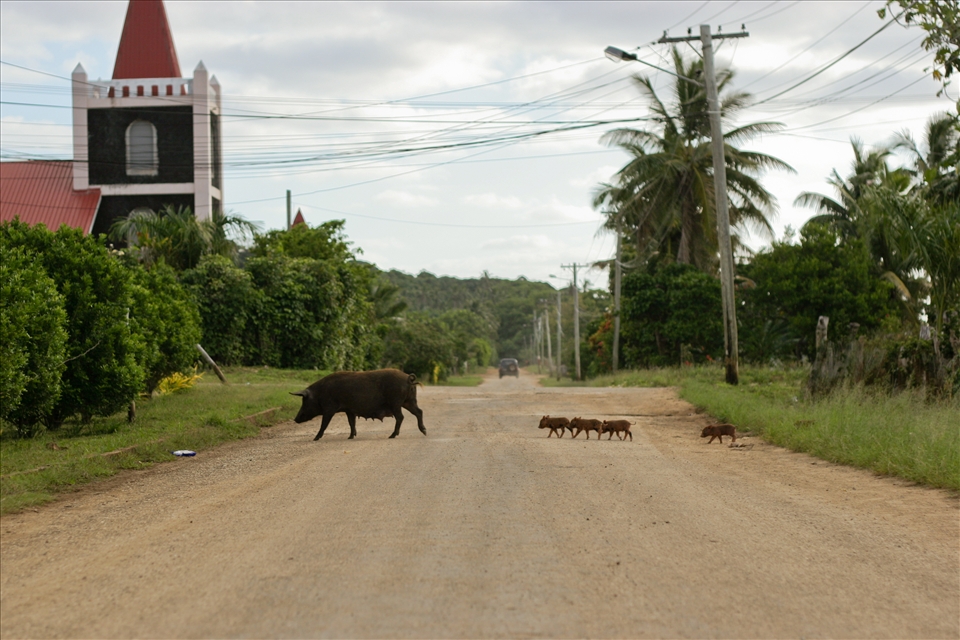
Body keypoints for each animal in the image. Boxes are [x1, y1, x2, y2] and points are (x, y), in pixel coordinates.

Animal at [291, 369, 426, 440]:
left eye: (304, 401)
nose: (295, 419)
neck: (319, 394)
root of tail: (408, 378)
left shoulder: (329, 408)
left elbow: (324, 424)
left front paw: (315, 438)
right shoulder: (349, 410)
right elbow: (351, 423)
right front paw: (350, 437)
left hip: (396, 402)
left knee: (400, 417)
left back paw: (392, 436)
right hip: (409, 401)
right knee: (419, 412)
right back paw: (424, 431)